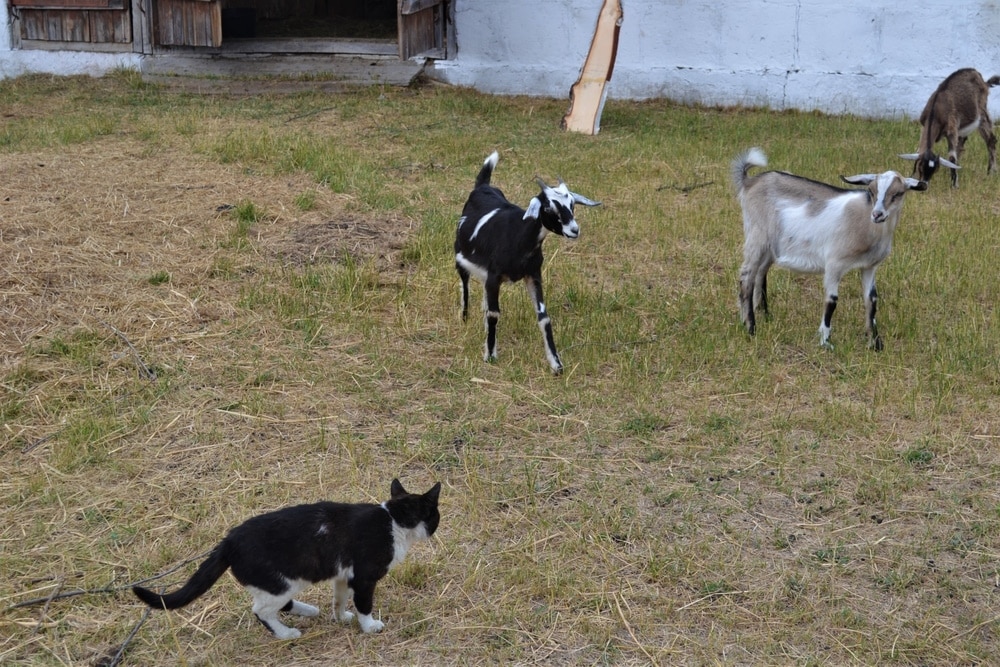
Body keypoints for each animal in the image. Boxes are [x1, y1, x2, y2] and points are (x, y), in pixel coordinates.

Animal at [132, 478, 442, 640]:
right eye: (436, 516)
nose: (438, 524)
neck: (393, 521)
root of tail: (228, 541)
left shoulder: (343, 575)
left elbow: (339, 599)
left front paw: (341, 617)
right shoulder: (365, 578)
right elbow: (364, 605)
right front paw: (369, 627)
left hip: (278, 583)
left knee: (275, 604)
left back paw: (309, 611)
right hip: (281, 583)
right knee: (261, 610)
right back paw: (286, 633)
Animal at [456, 149, 600, 374]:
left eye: (572, 205)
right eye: (549, 208)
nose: (574, 230)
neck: (518, 236)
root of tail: (483, 187)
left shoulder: (533, 275)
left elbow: (544, 317)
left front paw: (556, 364)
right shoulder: (495, 276)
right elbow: (494, 313)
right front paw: (490, 355)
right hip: (460, 257)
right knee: (465, 283)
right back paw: (464, 317)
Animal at [732, 149, 924, 352]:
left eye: (899, 193)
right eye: (871, 191)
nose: (877, 214)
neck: (865, 224)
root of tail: (749, 182)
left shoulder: (869, 266)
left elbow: (871, 300)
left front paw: (875, 343)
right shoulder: (834, 262)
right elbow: (832, 300)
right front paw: (826, 341)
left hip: (770, 245)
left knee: (761, 272)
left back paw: (765, 316)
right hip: (757, 235)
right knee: (747, 276)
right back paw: (751, 327)